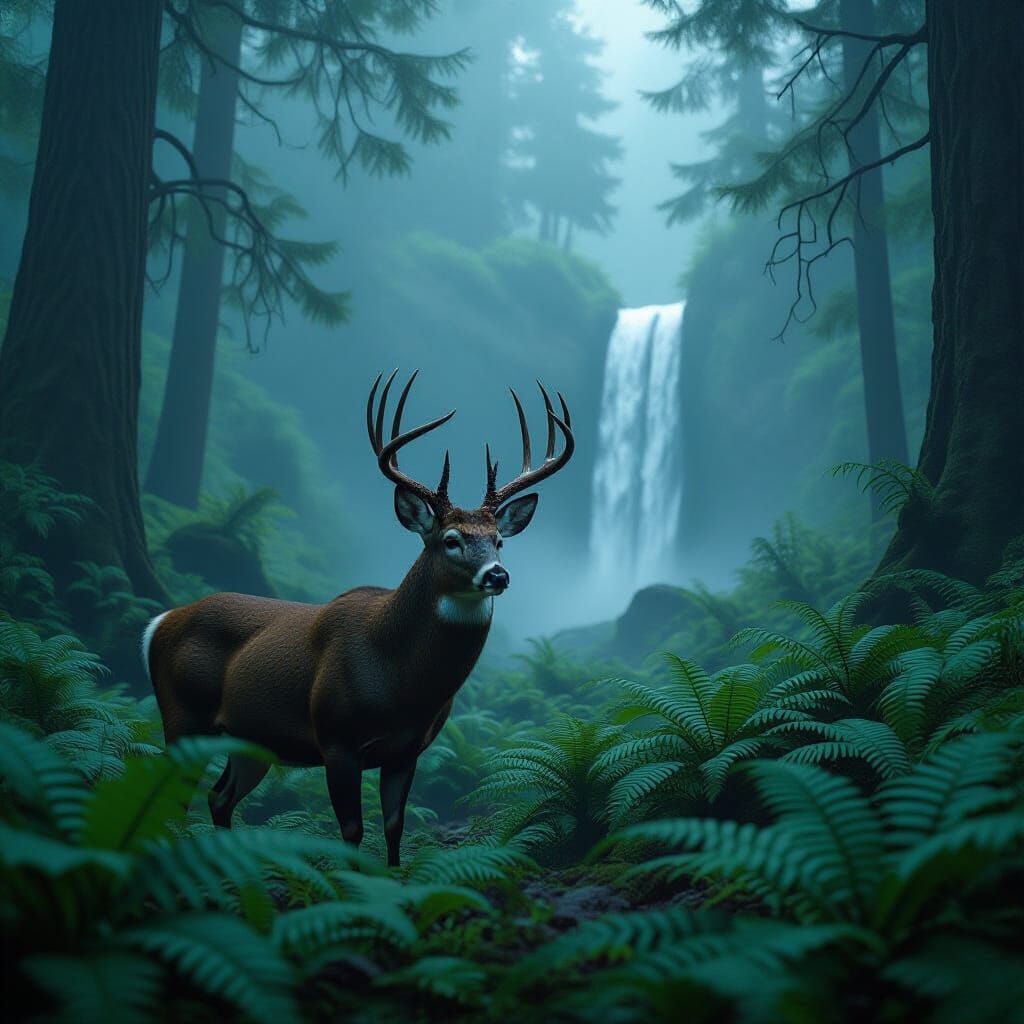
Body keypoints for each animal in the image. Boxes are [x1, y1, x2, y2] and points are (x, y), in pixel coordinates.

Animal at [143, 370, 574, 866]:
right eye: (450, 539)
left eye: (499, 540)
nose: (498, 574)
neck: (396, 678)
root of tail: (160, 623)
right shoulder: (336, 738)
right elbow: (351, 830)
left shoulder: (407, 750)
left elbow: (393, 827)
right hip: (183, 716)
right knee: (170, 793)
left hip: (249, 740)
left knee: (218, 796)